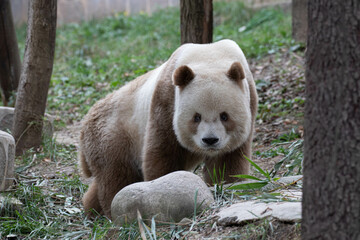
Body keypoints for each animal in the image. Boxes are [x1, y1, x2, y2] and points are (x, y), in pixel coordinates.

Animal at [80, 39, 258, 218]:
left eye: (224, 116)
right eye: (196, 117)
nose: (210, 140)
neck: (210, 58)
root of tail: (85, 123)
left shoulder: (249, 97)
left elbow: (227, 160)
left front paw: (225, 184)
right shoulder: (166, 101)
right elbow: (163, 153)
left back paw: (92, 209)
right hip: (114, 135)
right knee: (116, 175)